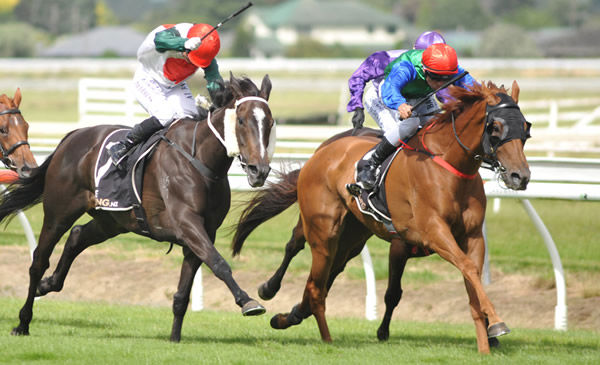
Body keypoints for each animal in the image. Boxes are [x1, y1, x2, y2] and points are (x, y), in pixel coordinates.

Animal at [0, 74, 274, 342]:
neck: (200, 159)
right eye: (241, 120)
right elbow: (218, 262)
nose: (258, 170)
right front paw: (248, 301)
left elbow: (182, 293)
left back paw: (48, 285)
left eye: (270, 123)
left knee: (77, 236)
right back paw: (23, 321)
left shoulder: (205, 230)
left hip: (111, 221)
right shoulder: (187, 224)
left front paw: (174, 339)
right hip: (59, 212)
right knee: (38, 261)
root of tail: (71, 136)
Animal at [231, 80, 528, 352]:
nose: (521, 176)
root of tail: (321, 151)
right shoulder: (430, 233)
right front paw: (497, 323)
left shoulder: (472, 236)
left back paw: (290, 315)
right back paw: (273, 292)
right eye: (495, 127)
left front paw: (487, 337)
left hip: (352, 234)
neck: (450, 165)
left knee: (325, 275)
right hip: (324, 225)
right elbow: (453, 272)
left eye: (526, 128)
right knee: (299, 250)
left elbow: (472, 275)